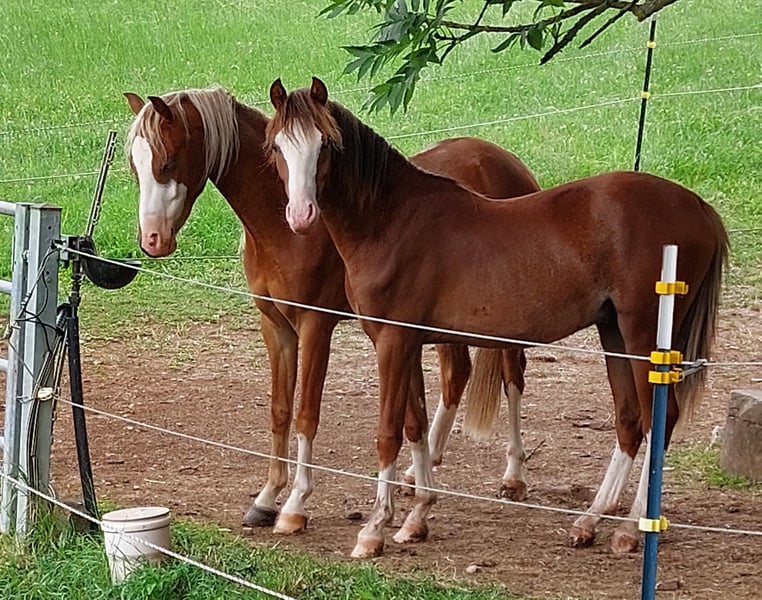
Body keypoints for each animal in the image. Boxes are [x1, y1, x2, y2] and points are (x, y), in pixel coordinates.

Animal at [123, 87, 541, 536]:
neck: (283, 226)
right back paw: (420, 472)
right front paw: (266, 499)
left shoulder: (315, 325)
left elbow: (307, 414)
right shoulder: (275, 327)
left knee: (512, 377)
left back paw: (513, 476)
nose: (152, 240)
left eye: (167, 162)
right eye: (134, 167)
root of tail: (502, 160)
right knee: (456, 374)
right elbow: (280, 410)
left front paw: (295, 505)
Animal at [265, 77, 729, 559]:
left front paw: (374, 529)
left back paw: (631, 529)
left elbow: (388, 433)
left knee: (660, 418)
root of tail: (698, 206)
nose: (301, 216)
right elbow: (415, 426)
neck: (392, 222)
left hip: (643, 337)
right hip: (614, 332)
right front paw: (416, 518)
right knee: (629, 421)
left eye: (326, 145)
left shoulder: (394, 342)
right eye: (277, 146)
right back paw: (589, 521)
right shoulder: (404, 343)